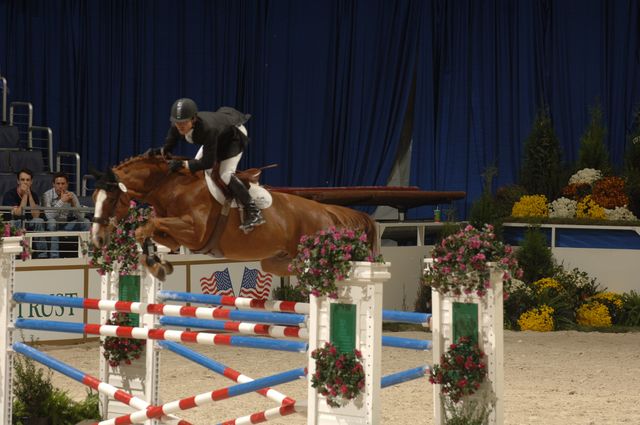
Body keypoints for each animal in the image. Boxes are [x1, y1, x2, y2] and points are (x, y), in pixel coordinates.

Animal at [92, 154, 378, 280]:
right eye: (93, 196)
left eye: (111, 200)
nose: (97, 239)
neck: (172, 186)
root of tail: (325, 210)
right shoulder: (176, 236)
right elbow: (150, 231)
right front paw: (157, 262)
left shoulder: (195, 233)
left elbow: (145, 226)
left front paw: (154, 264)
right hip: (275, 261)